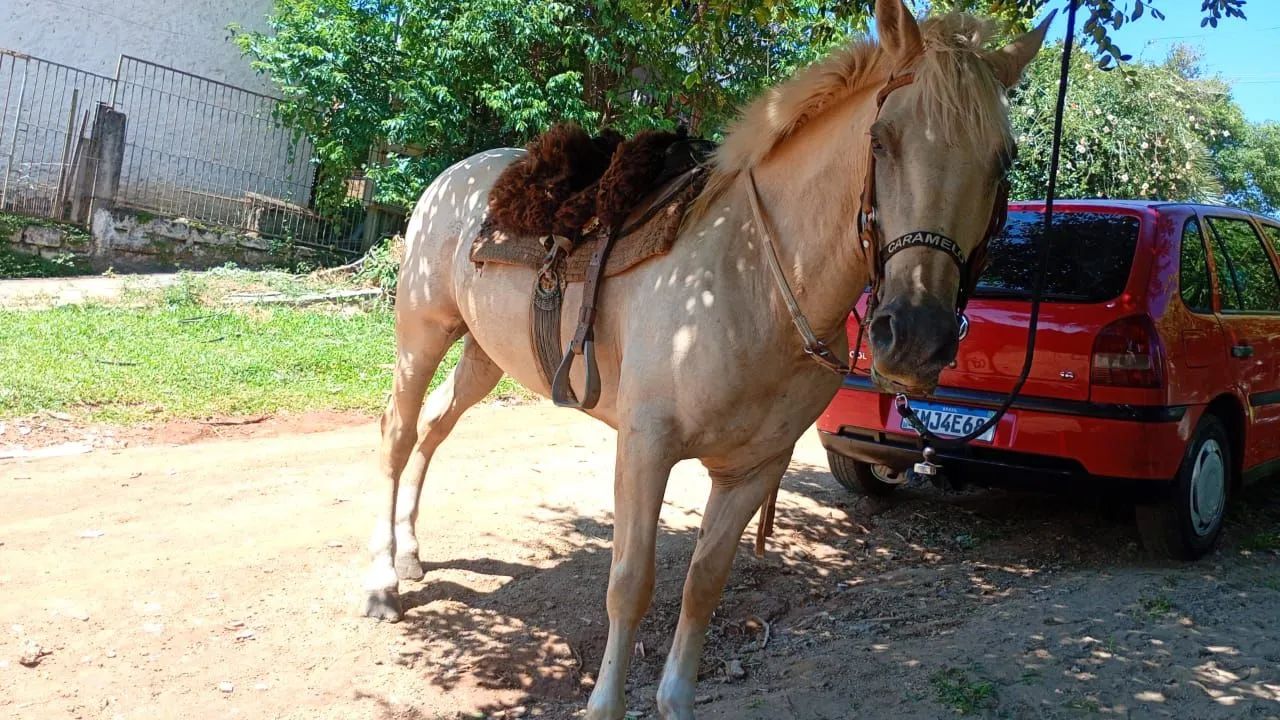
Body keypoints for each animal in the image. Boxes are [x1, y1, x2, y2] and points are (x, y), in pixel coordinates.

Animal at [363, 2, 1051, 717]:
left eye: (1003, 159)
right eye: (882, 139)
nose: (915, 336)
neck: (753, 280)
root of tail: (455, 178)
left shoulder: (754, 469)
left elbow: (704, 586)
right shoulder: (645, 447)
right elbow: (630, 585)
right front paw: (604, 703)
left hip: (482, 354)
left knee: (435, 427)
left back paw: (411, 556)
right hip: (421, 334)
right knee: (398, 434)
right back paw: (384, 585)